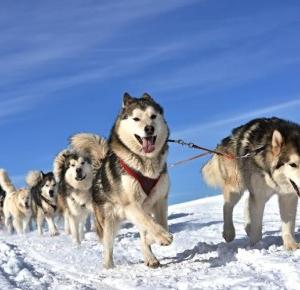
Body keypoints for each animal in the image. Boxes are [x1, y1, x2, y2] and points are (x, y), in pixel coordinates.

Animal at [70, 93, 172, 270]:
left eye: (153, 116)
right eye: (136, 118)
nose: (149, 128)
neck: (145, 164)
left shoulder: (160, 200)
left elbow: (157, 225)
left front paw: (152, 239)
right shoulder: (131, 204)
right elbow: (149, 224)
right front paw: (162, 237)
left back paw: (149, 257)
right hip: (109, 222)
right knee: (108, 246)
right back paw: (108, 266)